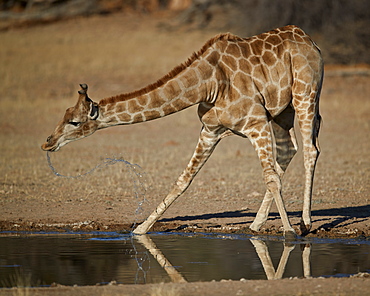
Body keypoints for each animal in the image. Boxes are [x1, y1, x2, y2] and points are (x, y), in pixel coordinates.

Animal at [42, 24, 322, 238]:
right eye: (64, 114)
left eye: (74, 122)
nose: (47, 142)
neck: (209, 84)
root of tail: (310, 41)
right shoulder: (210, 131)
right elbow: (182, 181)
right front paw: (141, 230)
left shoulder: (256, 123)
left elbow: (271, 177)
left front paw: (289, 232)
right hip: (282, 112)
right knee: (288, 151)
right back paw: (256, 224)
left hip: (305, 95)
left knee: (310, 150)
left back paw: (304, 223)